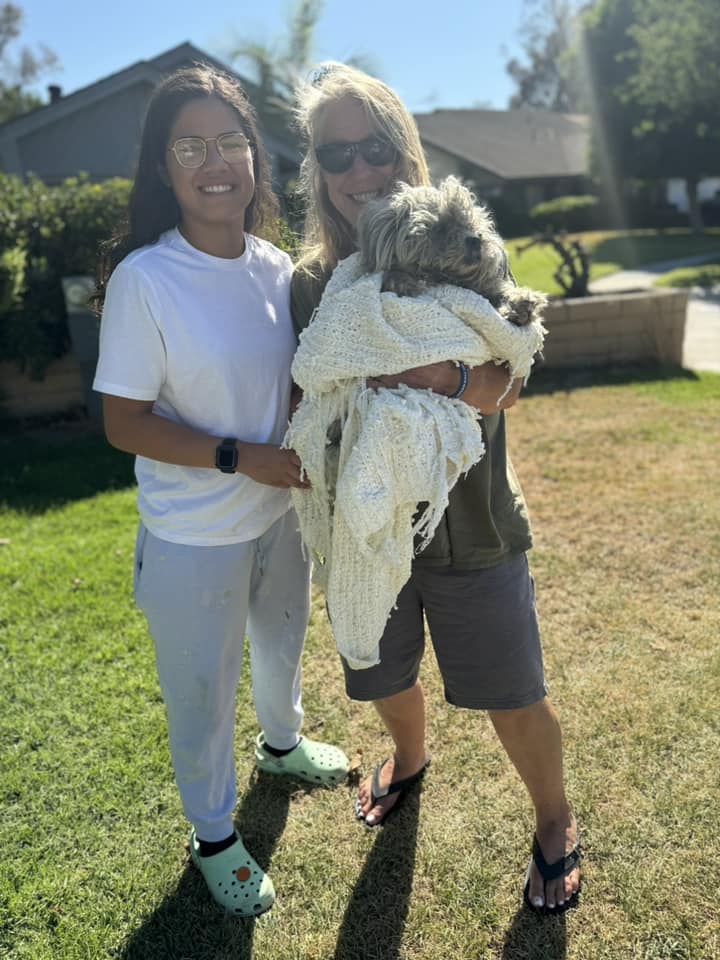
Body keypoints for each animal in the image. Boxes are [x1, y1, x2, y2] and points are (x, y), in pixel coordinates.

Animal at [354, 177, 544, 330]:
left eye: (473, 228)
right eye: (440, 228)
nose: (475, 239)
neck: (444, 277)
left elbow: (497, 289)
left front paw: (520, 302)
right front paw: (401, 282)